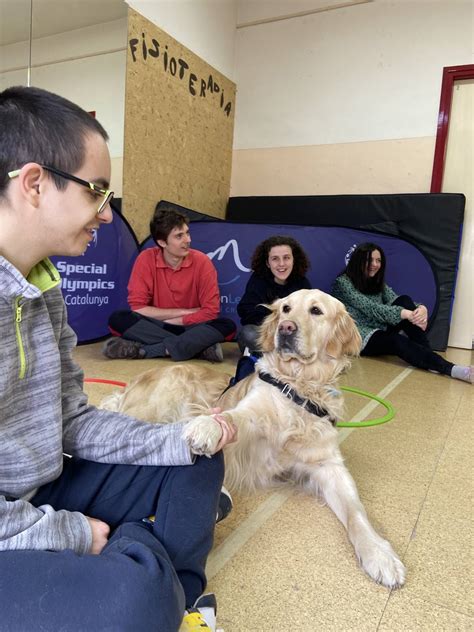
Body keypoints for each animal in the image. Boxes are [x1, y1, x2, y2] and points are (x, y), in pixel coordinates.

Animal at [102, 292, 406, 588]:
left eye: (316, 311)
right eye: (285, 309)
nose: (286, 328)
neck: (298, 388)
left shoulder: (329, 465)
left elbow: (356, 512)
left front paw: (380, 554)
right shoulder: (247, 419)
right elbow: (230, 418)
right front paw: (208, 428)